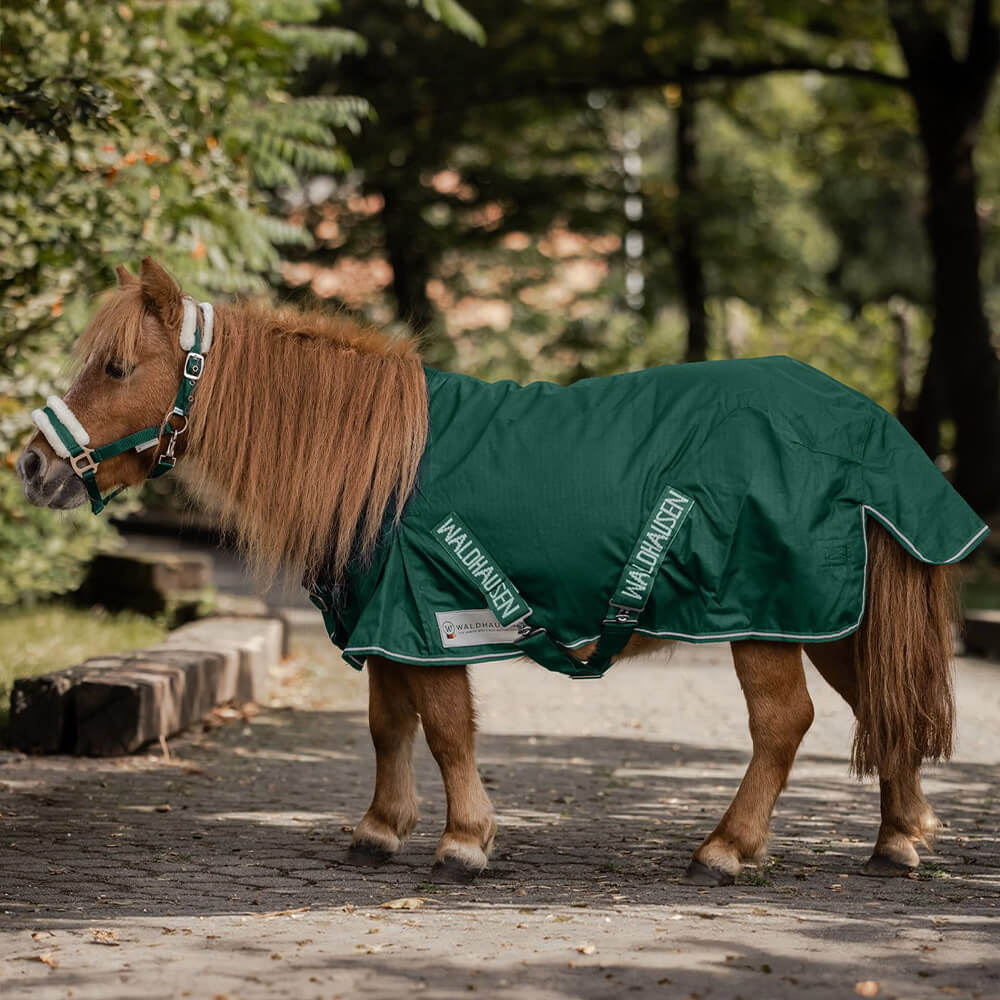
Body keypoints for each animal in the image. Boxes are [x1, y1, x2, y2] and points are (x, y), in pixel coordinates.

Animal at [16, 258, 984, 888]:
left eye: (116, 366)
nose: (32, 465)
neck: (383, 464)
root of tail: (865, 425)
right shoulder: (390, 623)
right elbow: (388, 725)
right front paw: (380, 829)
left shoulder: (434, 619)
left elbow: (447, 729)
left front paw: (465, 841)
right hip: (824, 616)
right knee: (883, 707)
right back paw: (898, 839)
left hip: (762, 616)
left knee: (786, 723)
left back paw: (728, 847)